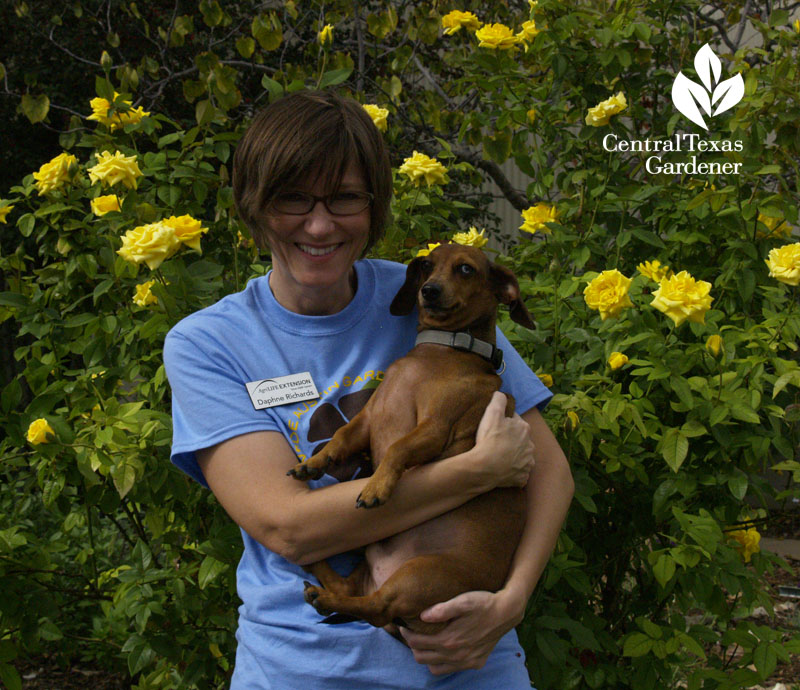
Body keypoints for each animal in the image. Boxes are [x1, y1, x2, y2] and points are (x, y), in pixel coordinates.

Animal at [284, 245, 536, 632]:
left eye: (466, 269)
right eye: (427, 265)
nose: (429, 291)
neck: (442, 351)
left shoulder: (435, 428)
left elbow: (398, 446)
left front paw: (376, 486)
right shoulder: (367, 419)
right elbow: (340, 436)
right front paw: (314, 463)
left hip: (421, 574)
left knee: (375, 607)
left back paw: (325, 598)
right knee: (350, 588)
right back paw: (317, 570)